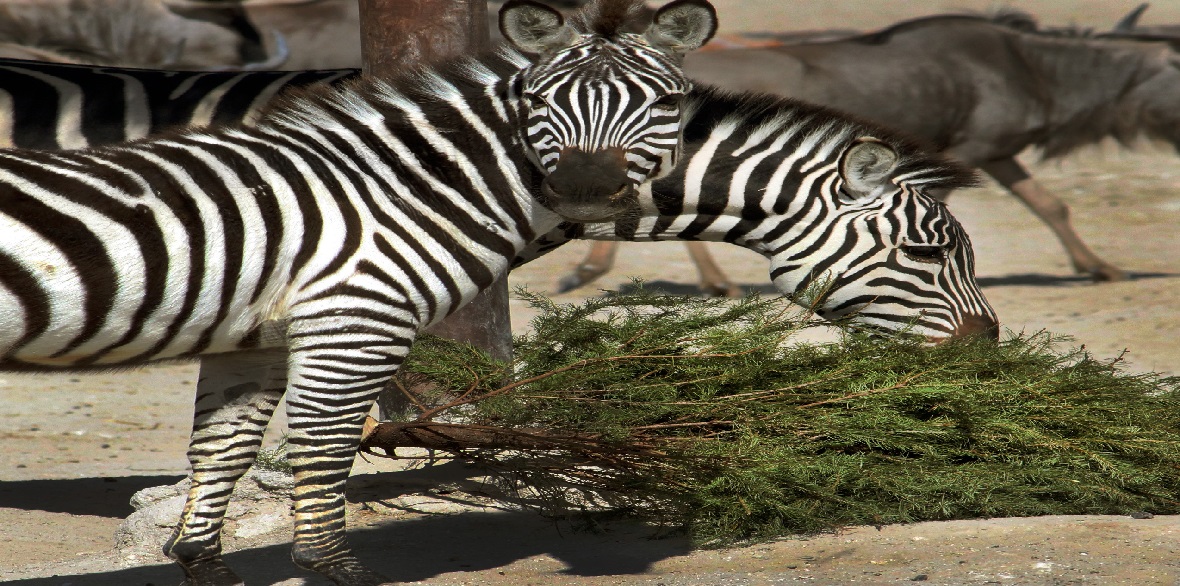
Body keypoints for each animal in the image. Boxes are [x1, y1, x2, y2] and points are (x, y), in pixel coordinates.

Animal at [0, 2, 717, 582]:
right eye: (539, 101)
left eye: (666, 104)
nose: (584, 187)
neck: (398, 193)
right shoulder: (355, 324)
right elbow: (324, 445)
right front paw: (330, 565)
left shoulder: (254, 339)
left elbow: (223, 449)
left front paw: (202, 561)